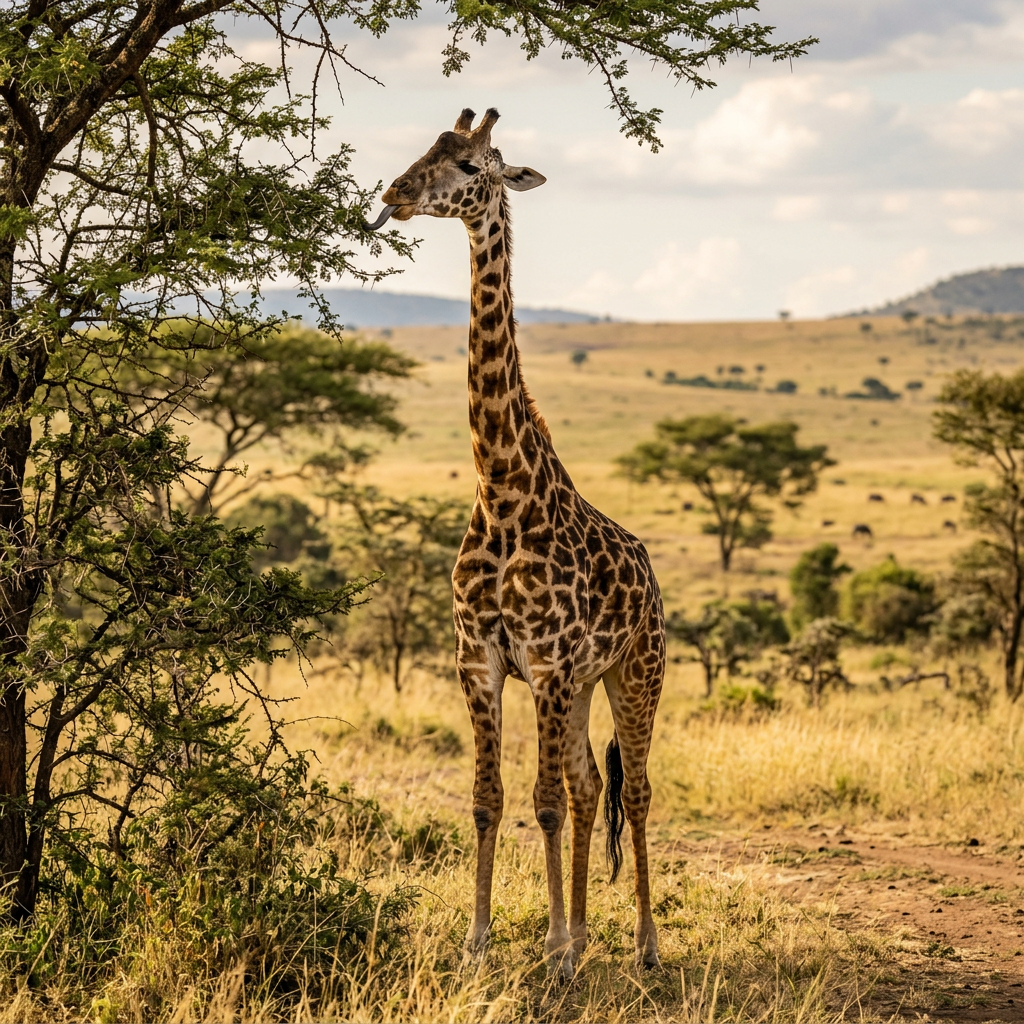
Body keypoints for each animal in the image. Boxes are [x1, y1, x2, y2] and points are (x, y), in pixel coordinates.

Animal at [367, 108, 665, 978]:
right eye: (427, 149)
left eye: (470, 164)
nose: (395, 194)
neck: (501, 490)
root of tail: (654, 578)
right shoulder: (483, 658)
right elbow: (489, 799)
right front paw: (482, 942)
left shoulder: (548, 660)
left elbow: (541, 802)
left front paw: (554, 950)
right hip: (584, 684)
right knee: (590, 787)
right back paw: (587, 933)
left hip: (636, 673)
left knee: (632, 791)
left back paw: (641, 944)